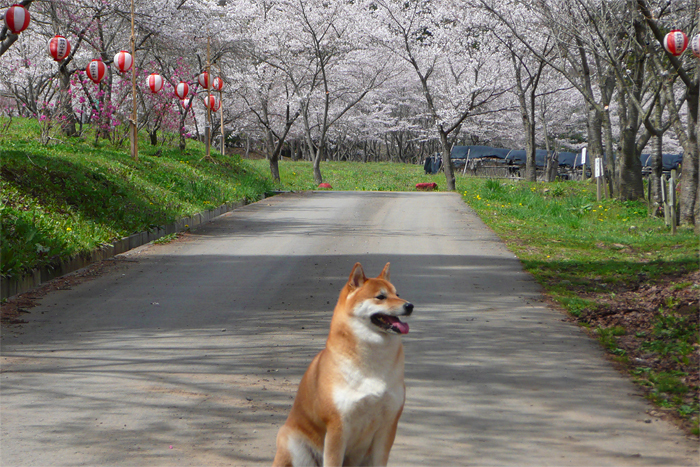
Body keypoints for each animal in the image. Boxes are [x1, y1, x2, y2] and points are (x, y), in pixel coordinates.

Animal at [272, 264, 416, 467]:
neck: (372, 362)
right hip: (292, 441)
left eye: (397, 294)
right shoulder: (337, 426)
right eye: (380, 297)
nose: (409, 306)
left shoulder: (388, 426)